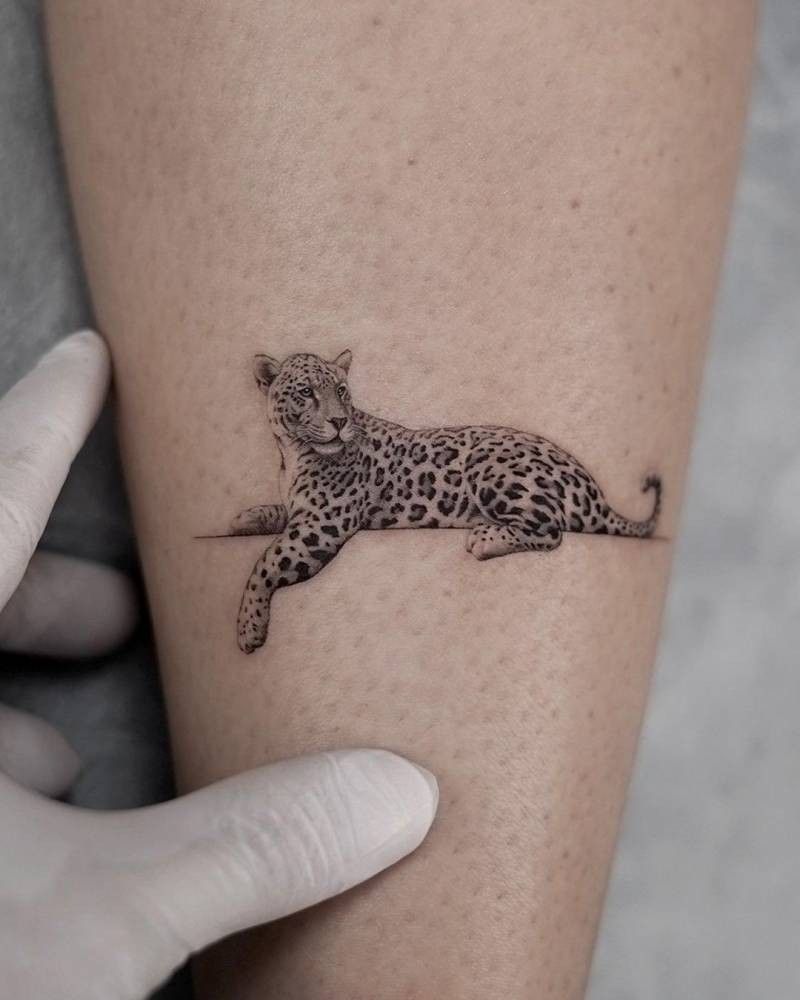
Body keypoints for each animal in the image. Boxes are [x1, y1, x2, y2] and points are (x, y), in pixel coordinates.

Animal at [230, 350, 661, 653]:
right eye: (306, 392)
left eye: (341, 391)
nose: (339, 421)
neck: (292, 454)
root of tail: (592, 486)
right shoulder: (300, 510)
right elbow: (273, 510)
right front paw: (242, 519)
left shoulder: (322, 522)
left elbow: (266, 562)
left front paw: (249, 629)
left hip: (490, 465)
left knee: (550, 531)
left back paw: (485, 538)